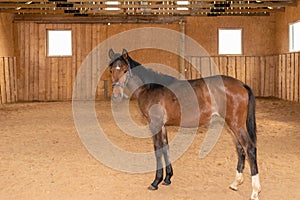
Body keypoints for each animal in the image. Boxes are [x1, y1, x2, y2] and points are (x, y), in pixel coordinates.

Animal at [107, 48, 260, 200]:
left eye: (125, 70)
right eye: (111, 70)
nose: (116, 95)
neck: (150, 88)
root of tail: (242, 84)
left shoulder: (155, 124)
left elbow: (158, 150)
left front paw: (156, 182)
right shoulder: (162, 126)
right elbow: (165, 148)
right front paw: (167, 178)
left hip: (236, 124)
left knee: (250, 148)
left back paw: (255, 191)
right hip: (232, 125)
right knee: (240, 149)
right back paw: (235, 183)